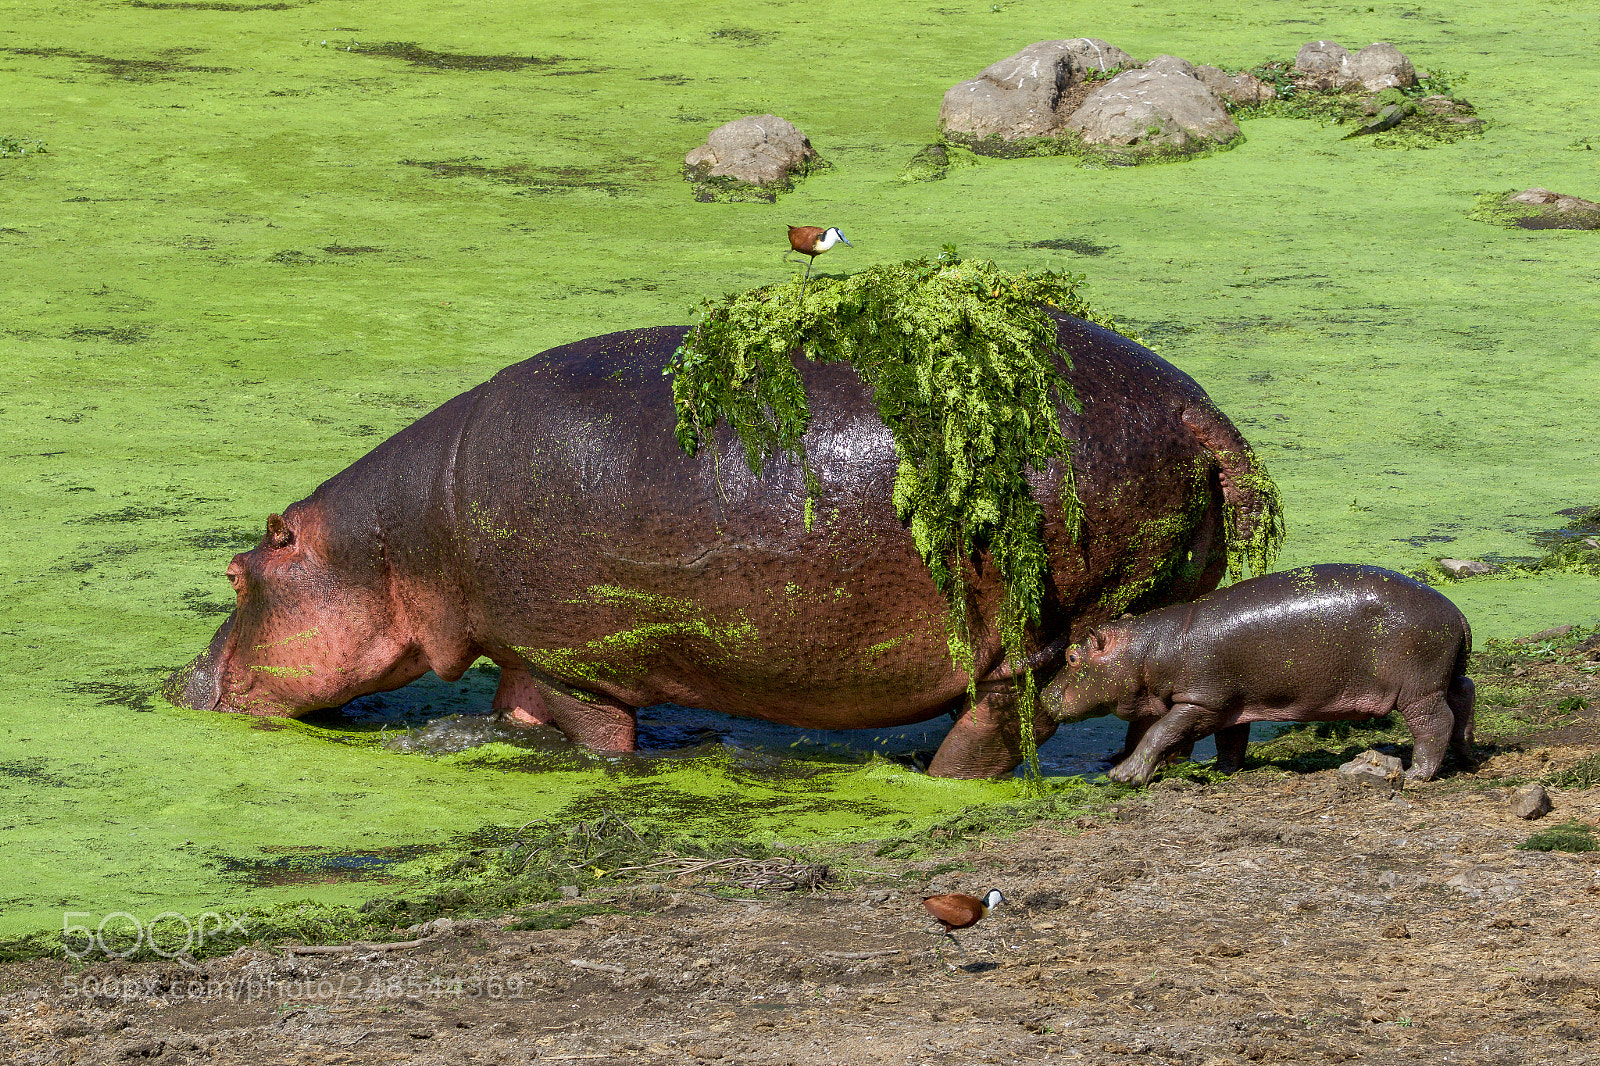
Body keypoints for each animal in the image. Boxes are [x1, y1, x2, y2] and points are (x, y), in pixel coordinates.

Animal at [166, 311, 1280, 777]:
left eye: (238, 569)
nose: (178, 683)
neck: (400, 542)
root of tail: (1198, 410)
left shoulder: (575, 666)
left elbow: (598, 740)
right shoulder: (523, 656)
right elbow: (510, 718)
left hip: (1040, 619)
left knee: (1005, 718)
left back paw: (931, 776)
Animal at [1042, 564, 1475, 783]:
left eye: (1072, 656)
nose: (1044, 695)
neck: (1150, 649)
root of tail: (1458, 614)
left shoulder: (1200, 702)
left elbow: (1159, 733)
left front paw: (1123, 776)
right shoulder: (1232, 705)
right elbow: (1230, 741)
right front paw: (1221, 771)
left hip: (1418, 689)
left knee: (1434, 723)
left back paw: (1416, 774)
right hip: (1445, 676)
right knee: (1464, 696)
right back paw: (1467, 755)